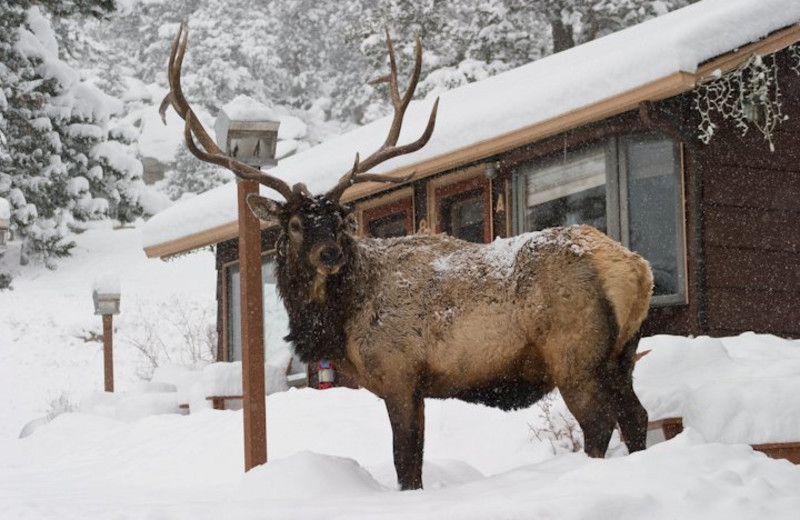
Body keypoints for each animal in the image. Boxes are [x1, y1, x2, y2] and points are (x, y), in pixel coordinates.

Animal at [161, 24, 648, 490]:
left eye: (339, 220)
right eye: (296, 224)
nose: (330, 253)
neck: (341, 320)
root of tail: (635, 271)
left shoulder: (399, 374)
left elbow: (406, 465)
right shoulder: (416, 385)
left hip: (575, 354)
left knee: (599, 424)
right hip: (622, 354)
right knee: (636, 418)